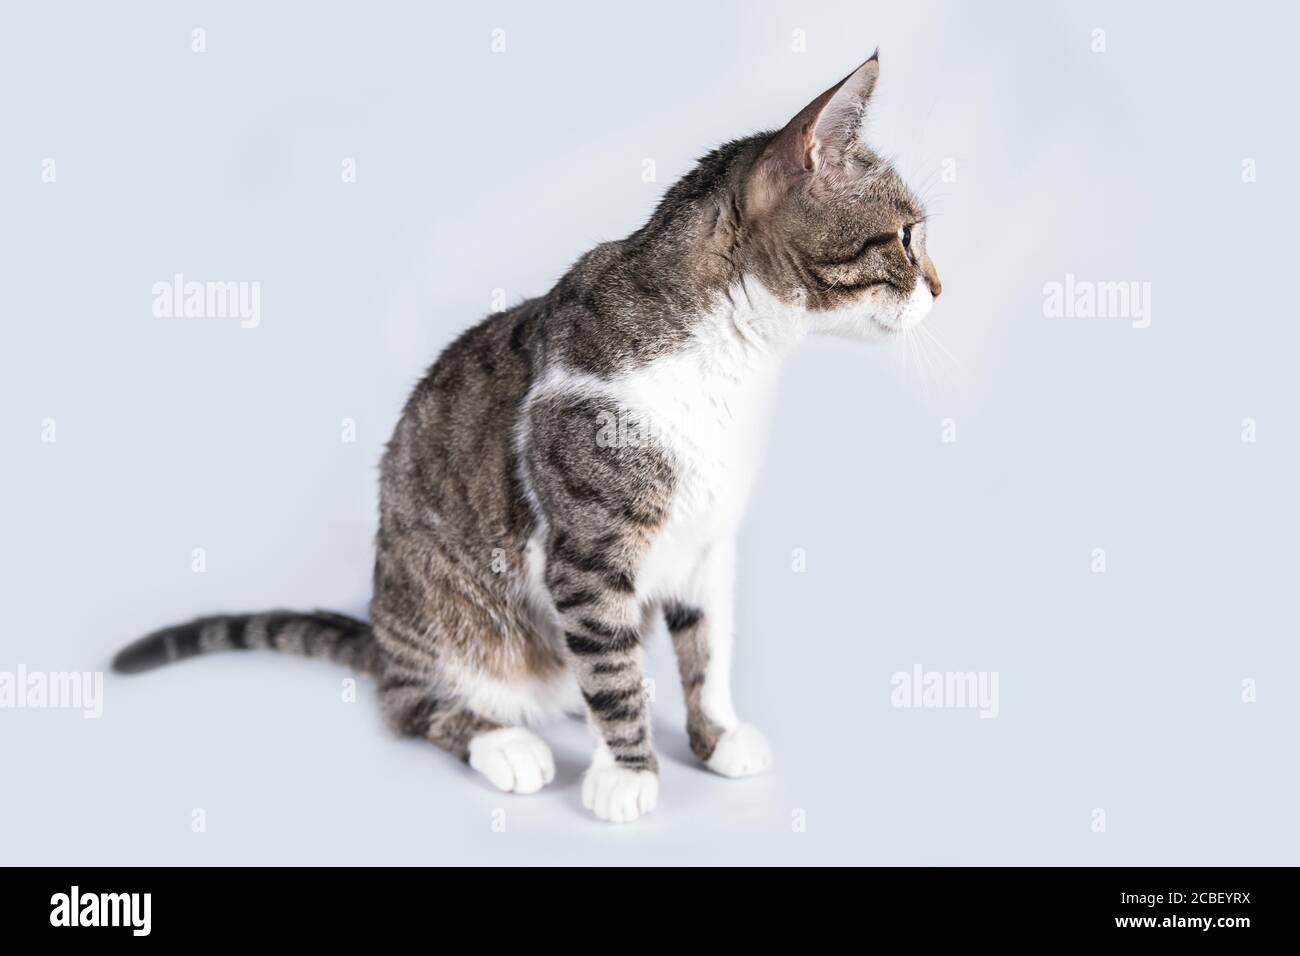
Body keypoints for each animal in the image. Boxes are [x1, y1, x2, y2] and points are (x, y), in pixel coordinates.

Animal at [111, 54, 941, 822]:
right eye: (905, 237)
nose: (940, 287)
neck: (732, 360)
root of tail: (382, 631)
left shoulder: (708, 540)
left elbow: (709, 647)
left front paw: (718, 735)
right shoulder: (588, 550)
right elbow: (612, 670)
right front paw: (629, 774)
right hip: (439, 610)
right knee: (410, 702)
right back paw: (505, 741)